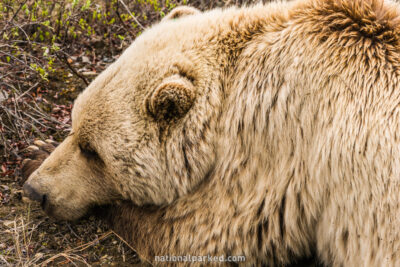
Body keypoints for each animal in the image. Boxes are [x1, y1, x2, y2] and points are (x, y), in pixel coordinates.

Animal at [21, 0, 400, 266]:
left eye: (93, 150)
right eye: (75, 126)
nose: (36, 191)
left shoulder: (281, 144)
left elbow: (201, 234)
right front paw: (36, 149)